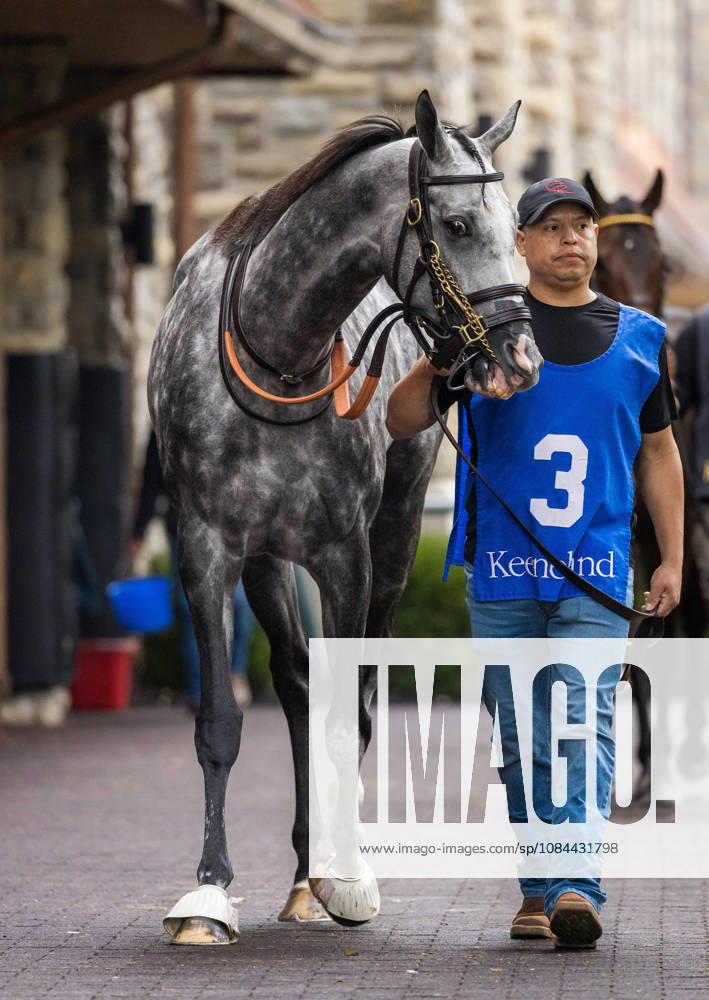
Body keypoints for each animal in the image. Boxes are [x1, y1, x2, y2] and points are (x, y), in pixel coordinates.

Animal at [150, 90, 542, 944]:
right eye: (458, 224)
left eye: (512, 222)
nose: (519, 360)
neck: (276, 356)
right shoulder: (208, 550)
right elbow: (221, 721)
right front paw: (208, 894)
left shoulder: (344, 554)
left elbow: (345, 714)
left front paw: (348, 877)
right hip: (268, 563)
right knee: (297, 682)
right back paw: (301, 876)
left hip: (395, 539)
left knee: (352, 697)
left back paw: (325, 868)